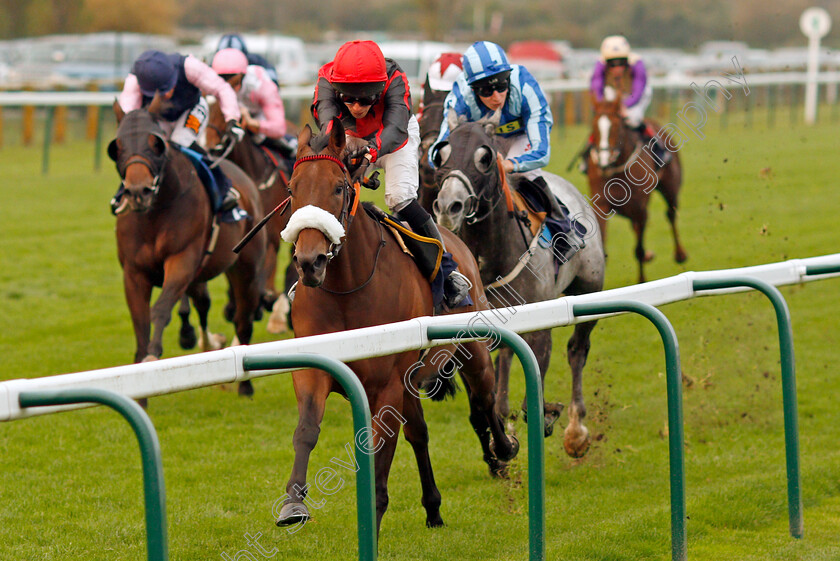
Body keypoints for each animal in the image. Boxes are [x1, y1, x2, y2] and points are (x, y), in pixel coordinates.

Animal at [109, 98, 266, 396]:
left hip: (247, 269)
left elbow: (160, 308)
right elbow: (141, 321)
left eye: (156, 143)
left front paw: (153, 354)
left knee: (243, 318)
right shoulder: (133, 273)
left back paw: (245, 384)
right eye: (117, 147)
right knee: (202, 304)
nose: (137, 192)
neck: (155, 212)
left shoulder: (181, 260)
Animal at [278, 119, 520, 532]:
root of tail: (455, 238)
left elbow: (379, 457)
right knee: (419, 433)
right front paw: (293, 504)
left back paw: (503, 449)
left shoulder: (387, 385)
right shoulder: (314, 370)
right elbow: (306, 430)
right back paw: (434, 507)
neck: (347, 289)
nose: (309, 262)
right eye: (292, 189)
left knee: (485, 398)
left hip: (469, 349)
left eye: (338, 187)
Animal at [434, 110, 604, 460]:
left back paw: (576, 430)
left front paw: (550, 415)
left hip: (590, 287)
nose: (447, 207)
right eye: (441, 154)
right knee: (507, 357)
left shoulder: (540, 325)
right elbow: (484, 399)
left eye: (485, 157)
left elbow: (532, 401)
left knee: (577, 350)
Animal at [588, 97, 684, 284]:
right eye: (594, 126)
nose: (603, 162)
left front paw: (642, 280)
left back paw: (680, 254)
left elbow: (639, 249)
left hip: (670, 189)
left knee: (671, 214)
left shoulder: (640, 209)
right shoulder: (601, 205)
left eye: (616, 127)